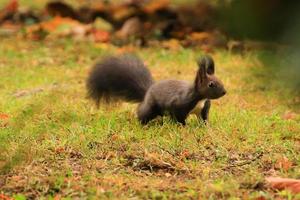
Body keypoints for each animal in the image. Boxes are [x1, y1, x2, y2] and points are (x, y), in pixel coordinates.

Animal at [85, 54, 226, 124]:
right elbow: (179, 117)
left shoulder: (204, 109)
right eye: (211, 84)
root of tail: (148, 90)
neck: (200, 99)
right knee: (143, 112)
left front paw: (206, 127)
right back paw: (142, 123)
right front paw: (183, 127)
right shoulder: (179, 104)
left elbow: (204, 118)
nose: (225, 92)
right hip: (151, 107)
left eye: (220, 79)